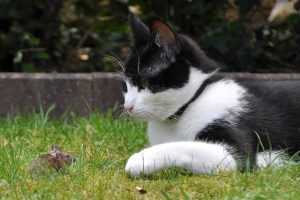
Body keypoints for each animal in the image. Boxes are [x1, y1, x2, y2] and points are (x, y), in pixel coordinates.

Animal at [121, 12, 300, 177]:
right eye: (125, 86)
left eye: (145, 83)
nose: (127, 106)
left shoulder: (234, 146)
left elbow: (187, 146)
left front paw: (141, 158)